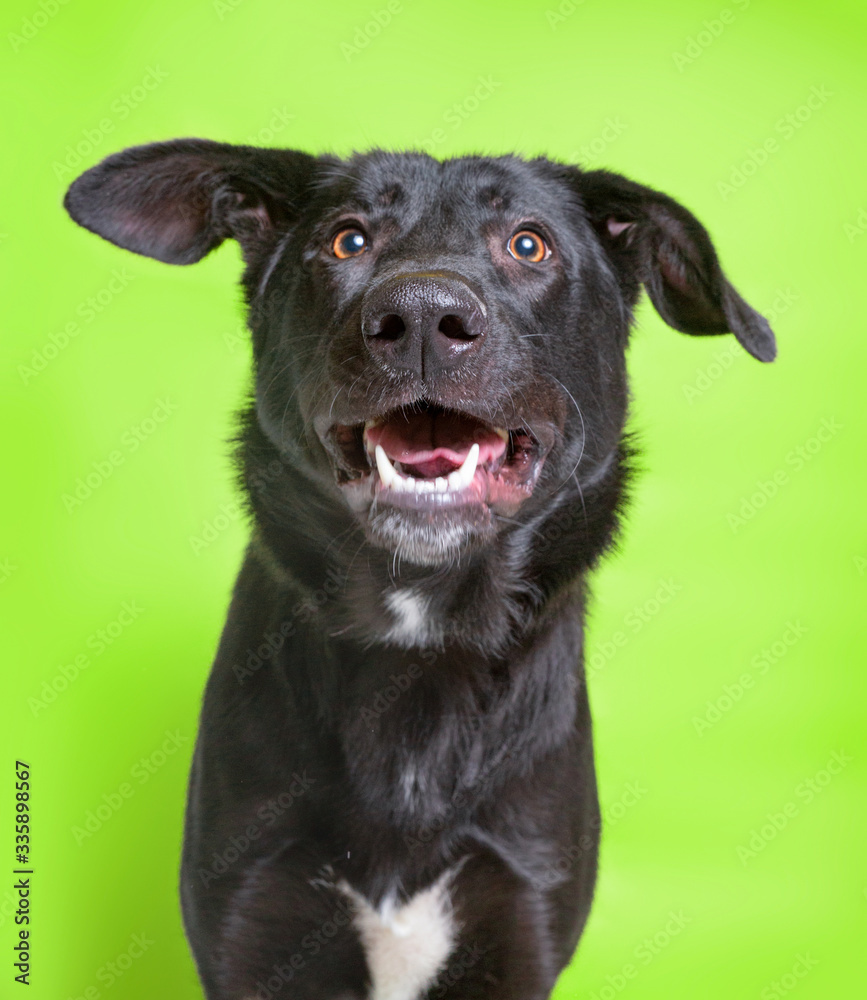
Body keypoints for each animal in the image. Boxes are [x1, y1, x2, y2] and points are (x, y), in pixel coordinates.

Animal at [64, 143, 776, 1000]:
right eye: (347, 240)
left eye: (528, 244)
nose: (424, 319)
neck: (421, 637)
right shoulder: (253, 922)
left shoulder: (518, 921)